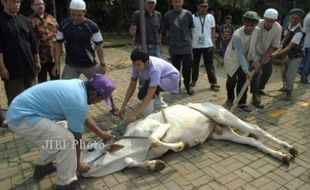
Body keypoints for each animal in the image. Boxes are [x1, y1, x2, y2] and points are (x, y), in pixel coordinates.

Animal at [80, 103, 298, 177]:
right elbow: (133, 162)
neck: (132, 145)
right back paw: (283, 156)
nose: (81, 169)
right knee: (252, 141)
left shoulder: (158, 128)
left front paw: (180, 144)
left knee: (255, 129)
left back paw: (289, 147)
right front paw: (156, 165)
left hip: (225, 117)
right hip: (221, 133)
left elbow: (153, 140)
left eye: (90, 149)